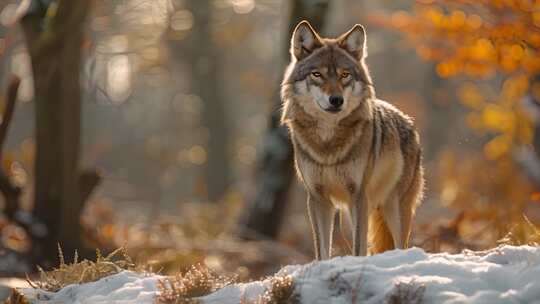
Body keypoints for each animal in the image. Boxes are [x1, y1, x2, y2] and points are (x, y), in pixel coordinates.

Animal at [280, 21, 424, 258]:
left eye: (344, 74)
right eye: (317, 74)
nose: (336, 100)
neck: (328, 143)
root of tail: (408, 121)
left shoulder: (358, 196)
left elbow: (359, 248)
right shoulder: (318, 198)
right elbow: (322, 251)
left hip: (393, 208)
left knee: (399, 244)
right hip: (351, 214)